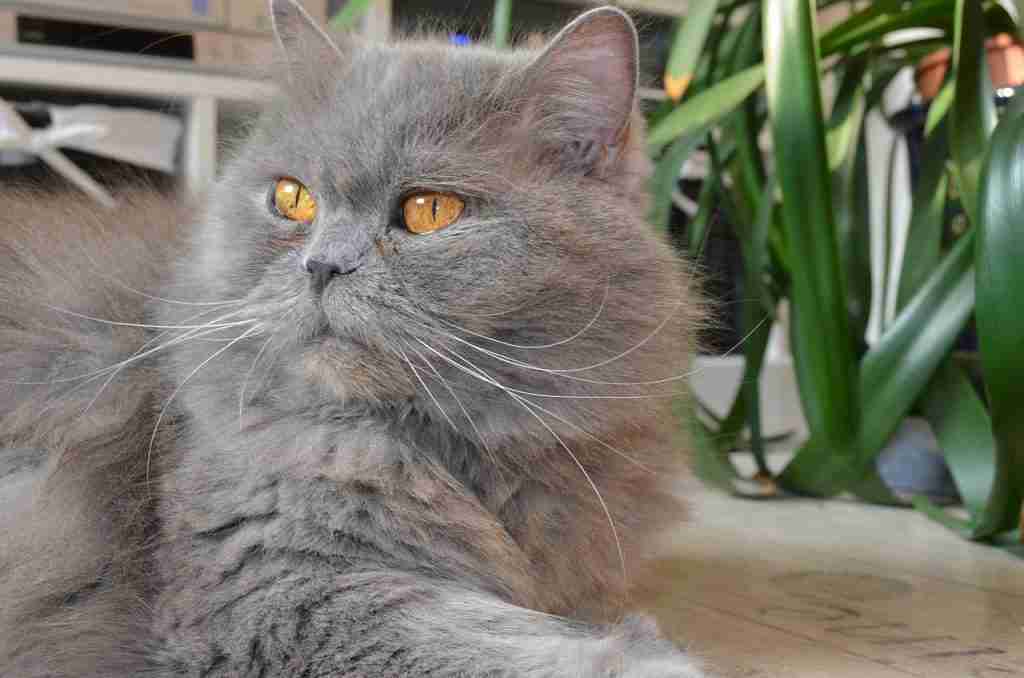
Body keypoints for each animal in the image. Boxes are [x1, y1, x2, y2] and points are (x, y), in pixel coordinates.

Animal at [0, 2, 704, 675]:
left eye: (430, 211)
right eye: (293, 199)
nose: (322, 266)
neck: (452, 454)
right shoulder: (265, 589)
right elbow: (509, 643)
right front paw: (652, 652)